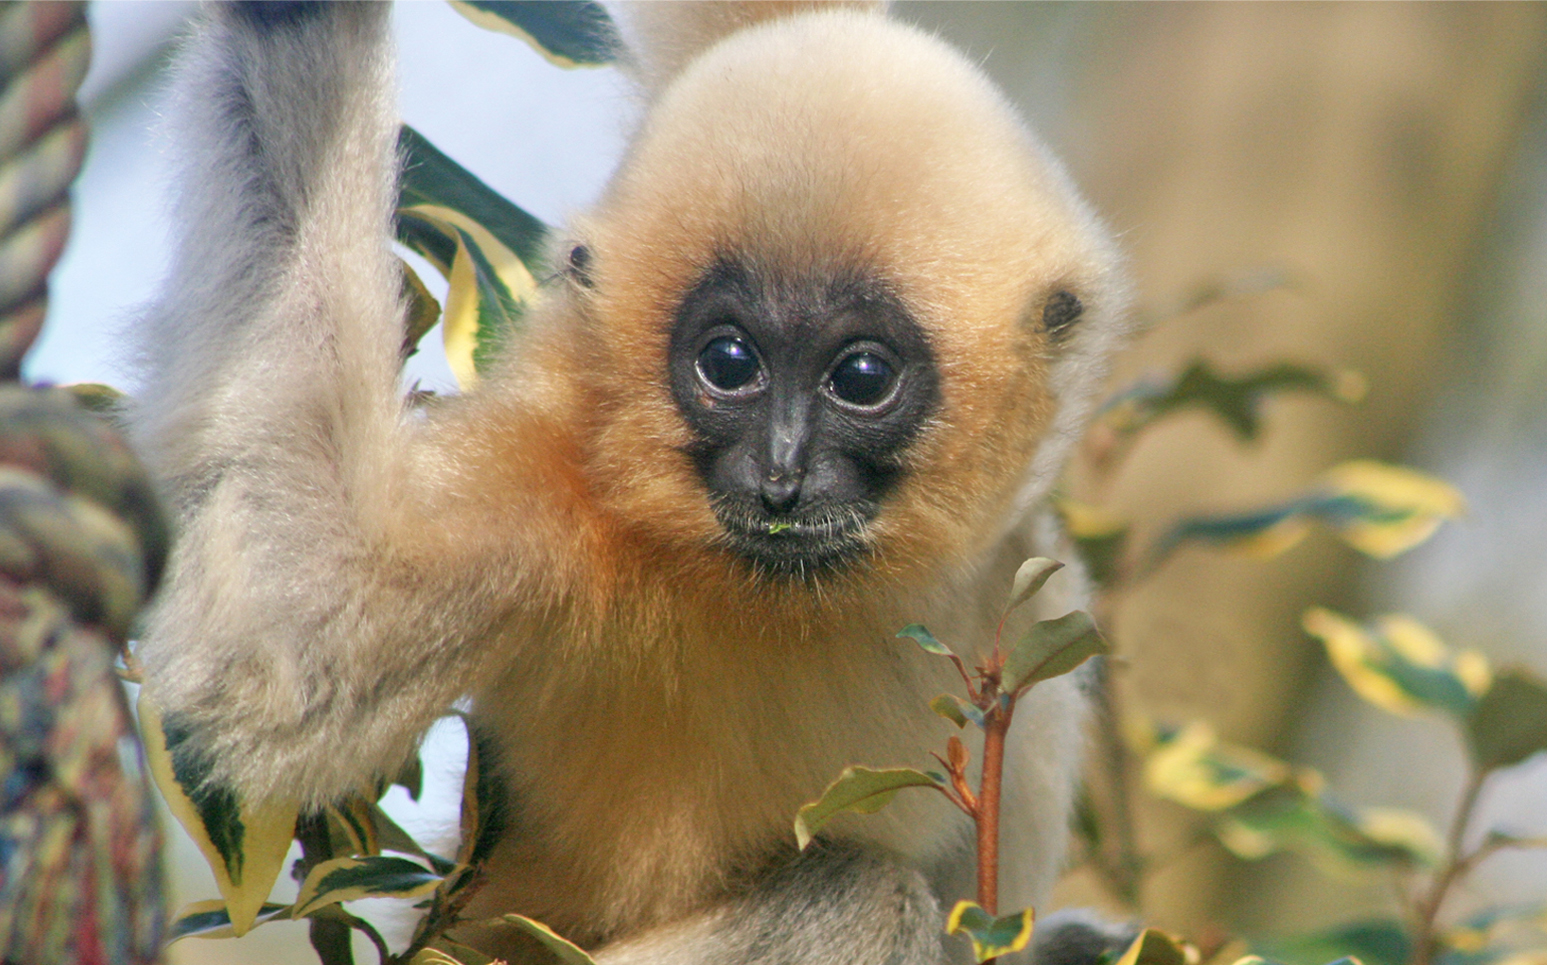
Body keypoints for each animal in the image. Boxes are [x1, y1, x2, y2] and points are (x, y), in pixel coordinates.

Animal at [125, 2, 1131, 962]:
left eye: (861, 378)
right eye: (729, 363)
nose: (781, 473)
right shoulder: (553, 495)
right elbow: (277, 650)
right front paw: (291, 14)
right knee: (868, 901)